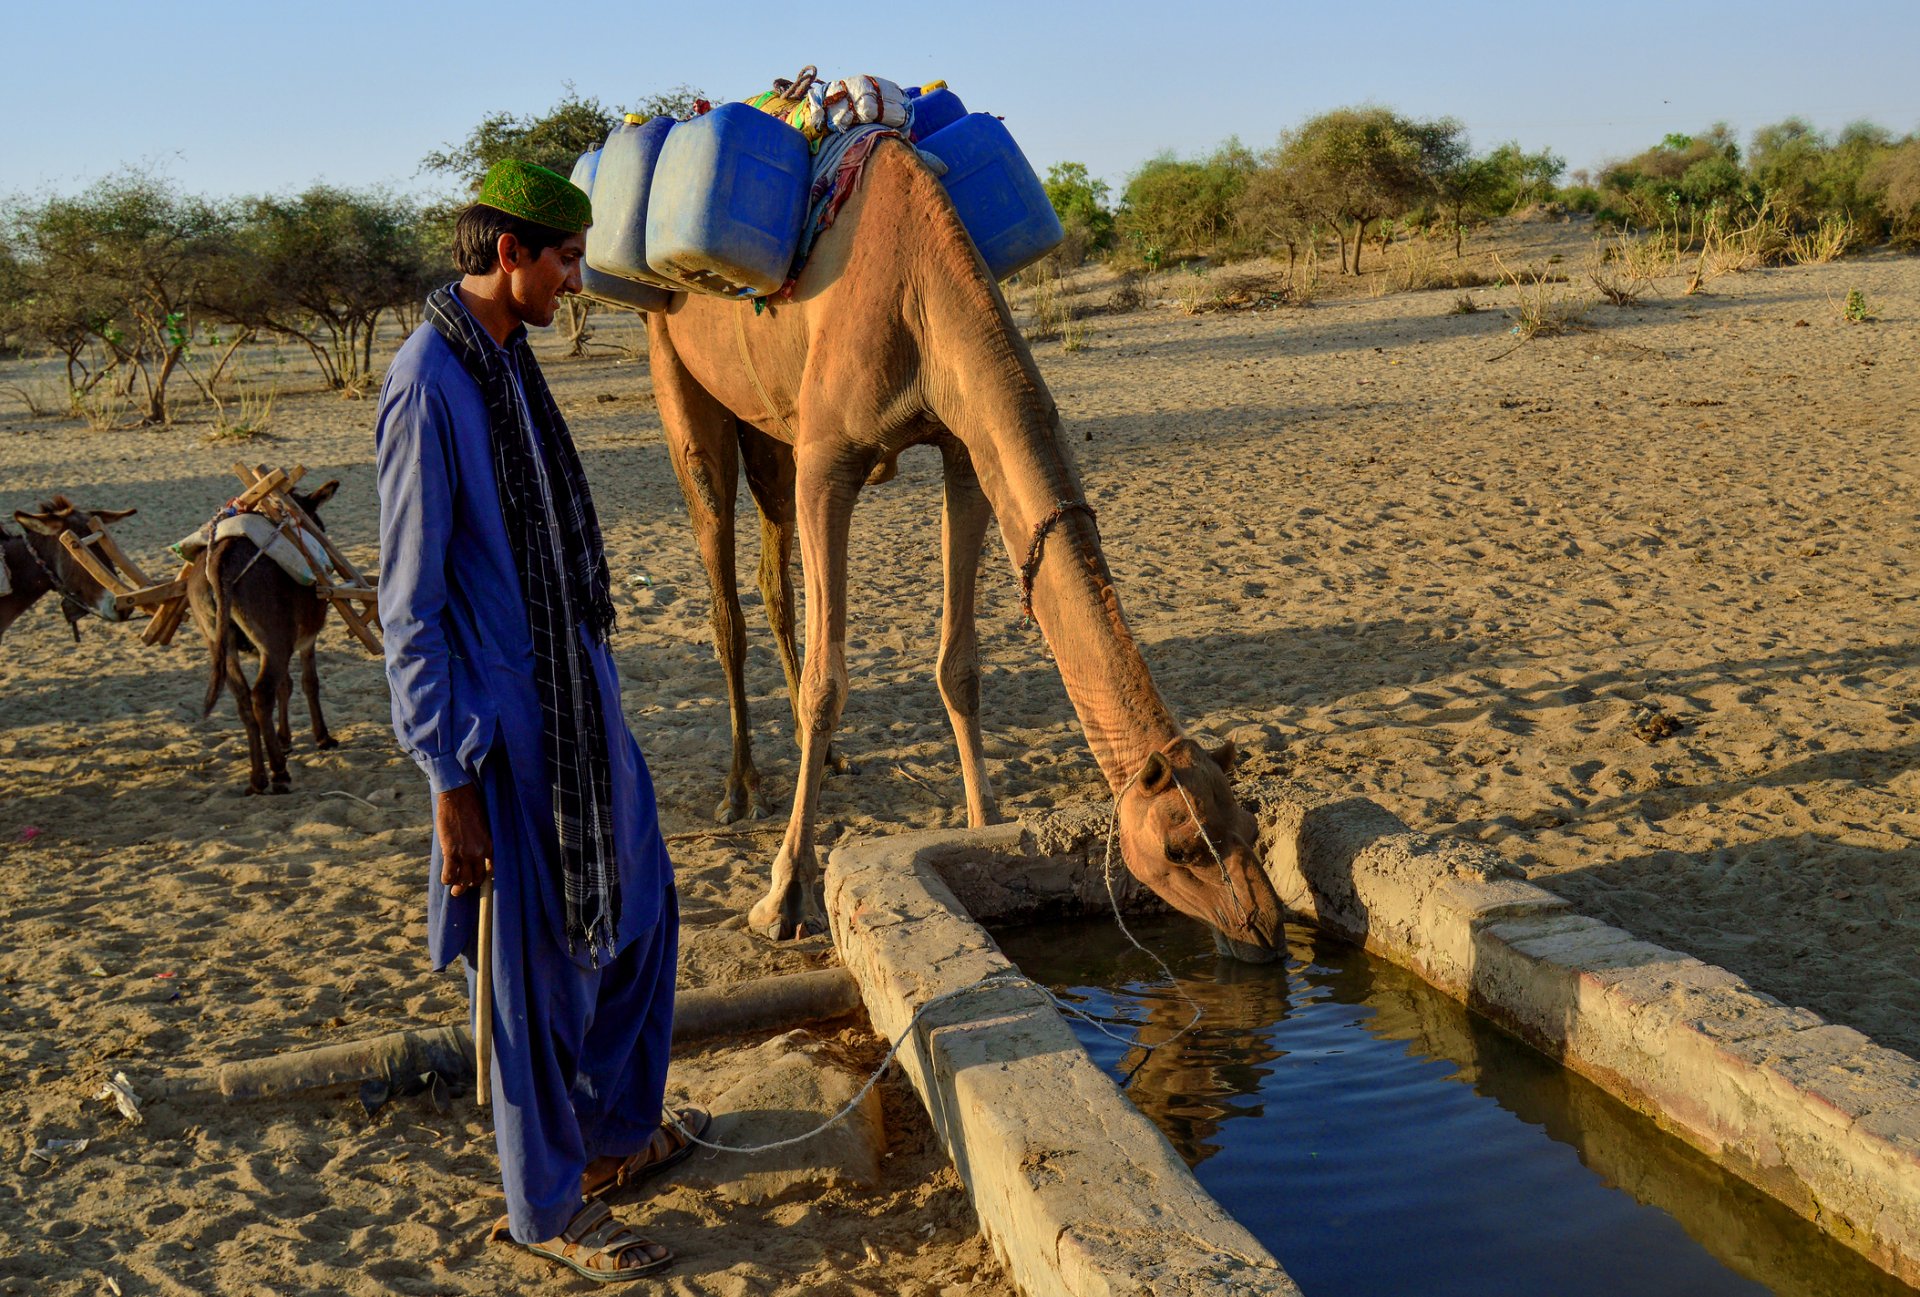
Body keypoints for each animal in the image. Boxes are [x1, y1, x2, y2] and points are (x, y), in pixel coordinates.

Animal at [648, 139, 1290, 963]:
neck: (923, 292)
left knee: (771, 577)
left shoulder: (962, 448)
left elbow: (960, 665)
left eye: (1249, 824)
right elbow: (829, 682)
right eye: (1181, 847)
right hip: (676, 365)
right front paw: (785, 896)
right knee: (721, 584)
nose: (1265, 928)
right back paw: (742, 789)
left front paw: (985, 830)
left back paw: (827, 760)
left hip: (771, 427)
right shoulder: (830, 458)